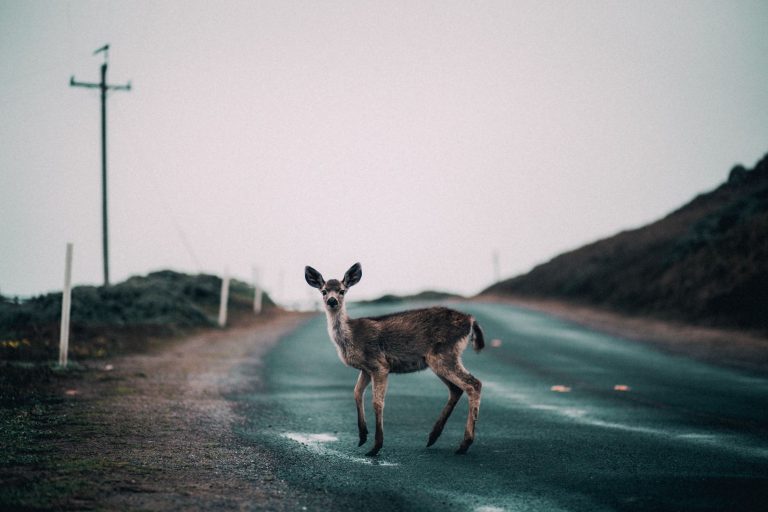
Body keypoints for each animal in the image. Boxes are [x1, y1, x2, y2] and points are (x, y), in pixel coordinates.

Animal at [304, 262, 484, 454]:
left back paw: (464, 444)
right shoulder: (366, 369)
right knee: (456, 389)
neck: (350, 337)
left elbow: (377, 402)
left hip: (444, 354)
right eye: (323, 291)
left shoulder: (379, 364)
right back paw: (433, 437)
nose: (332, 301)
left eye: (342, 290)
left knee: (473, 384)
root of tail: (470, 320)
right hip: (439, 359)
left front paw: (376, 447)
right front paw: (362, 436)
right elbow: (356, 393)